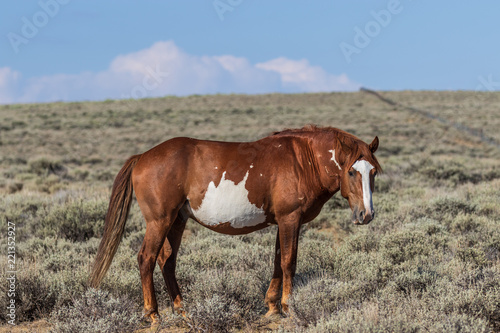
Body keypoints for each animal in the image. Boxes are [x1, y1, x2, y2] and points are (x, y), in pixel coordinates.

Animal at [88, 124, 380, 322]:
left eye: (373, 172)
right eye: (351, 171)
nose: (366, 215)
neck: (302, 160)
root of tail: (142, 156)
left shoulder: (281, 222)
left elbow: (277, 260)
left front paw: (272, 307)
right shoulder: (290, 219)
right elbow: (289, 262)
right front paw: (289, 307)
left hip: (176, 222)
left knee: (167, 261)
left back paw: (181, 310)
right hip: (159, 221)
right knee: (146, 258)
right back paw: (153, 314)